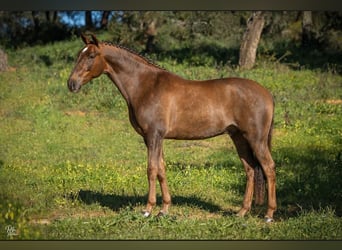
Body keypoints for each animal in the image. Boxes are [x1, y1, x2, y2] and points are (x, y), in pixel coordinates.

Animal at [68, 33, 276, 223]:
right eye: (79, 54)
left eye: (91, 55)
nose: (71, 83)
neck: (146, 85)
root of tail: (267, 94)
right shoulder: (153, 138)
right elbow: (161, 169)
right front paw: (164, 209)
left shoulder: (154, 135)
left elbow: (151, 169)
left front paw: (148, 210)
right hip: (239, 138)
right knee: (250, 170)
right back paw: (241, 212)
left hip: (256, 139)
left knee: (268, 168)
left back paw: (269, 215)